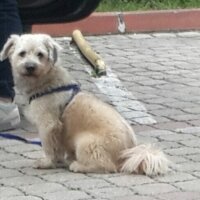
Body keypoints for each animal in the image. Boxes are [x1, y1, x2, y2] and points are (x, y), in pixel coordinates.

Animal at [0, 34, 170, 175]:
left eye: (40, 55)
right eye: (22, 53)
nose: (30, 66)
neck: (46, 83)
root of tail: (128, 153)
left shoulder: (48, 125)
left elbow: (49, 147)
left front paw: (47, 162)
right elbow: (58, 148)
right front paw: (58, 160)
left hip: (85, 142)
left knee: (107, 165)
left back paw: (78, 165)